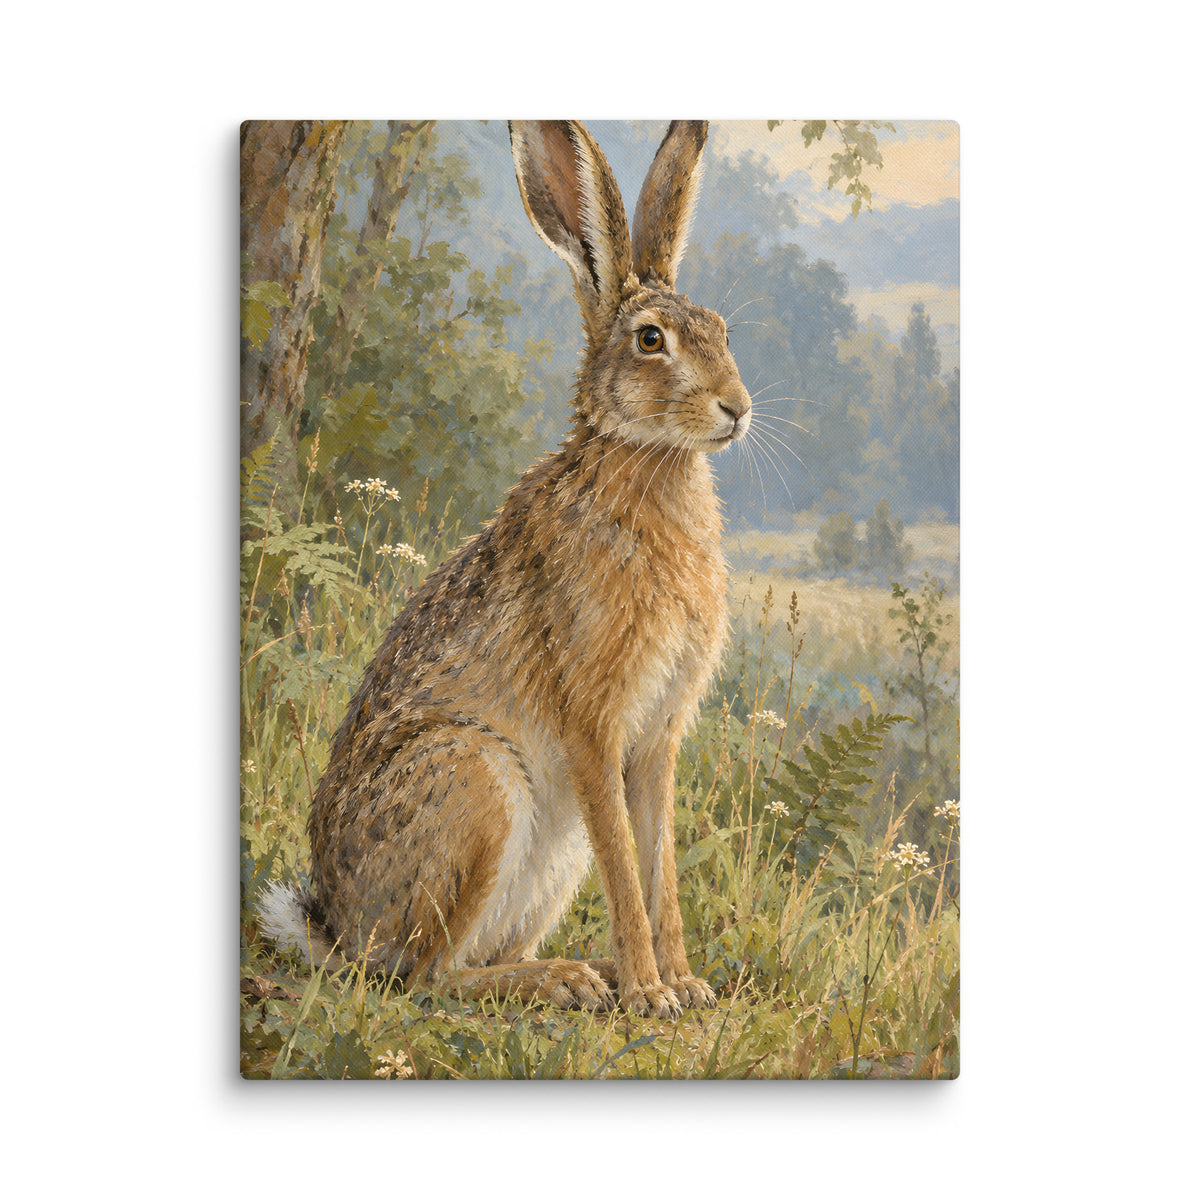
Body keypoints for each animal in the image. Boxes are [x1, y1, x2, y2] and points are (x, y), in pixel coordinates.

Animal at [258, 119, 752, 1019]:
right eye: (651, 341)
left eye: (722, 329)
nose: (736, 408)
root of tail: (338, 930)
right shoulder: (594, 722)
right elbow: (627, 867)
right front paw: (650, 993)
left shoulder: (658, 736)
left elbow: (658, 866)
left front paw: (685, 984)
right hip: (476, 785)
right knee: (425, 977)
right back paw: (568, 979)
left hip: (546, 858)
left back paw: (575, 974)